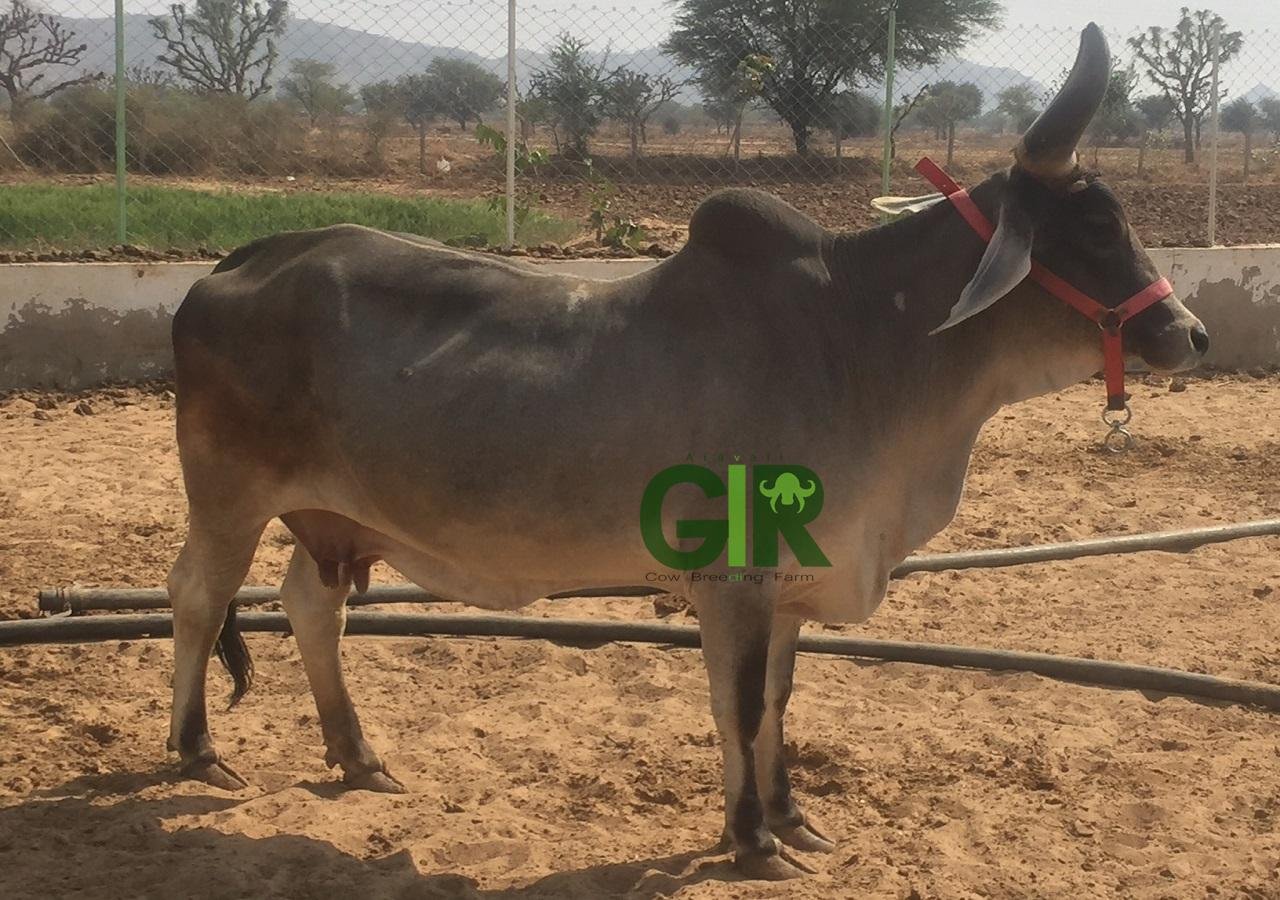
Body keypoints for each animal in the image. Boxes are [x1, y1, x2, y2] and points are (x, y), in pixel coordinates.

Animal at [165, 24, 1207, 880]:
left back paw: (357, 755)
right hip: (229, 494)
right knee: (199, 597)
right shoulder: (735, 581)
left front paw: (791, 820)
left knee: (310, 606)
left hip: (328, 515)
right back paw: (198, 749)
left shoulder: (792, 586)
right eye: (1098, 226)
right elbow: (738, 708)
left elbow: (780, 704)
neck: (859, 341)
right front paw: (750, 843)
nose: (1190, 335)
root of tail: (239, 261)